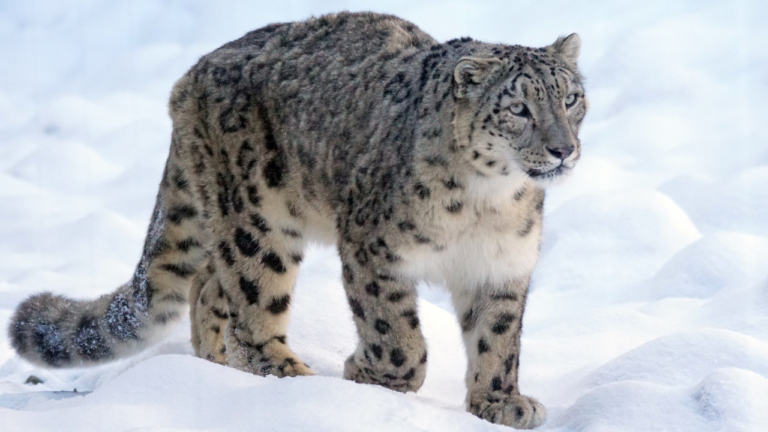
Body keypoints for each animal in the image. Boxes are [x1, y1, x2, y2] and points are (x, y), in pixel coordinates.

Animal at [8, 12, 587, 429]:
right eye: (518, 109)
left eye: (572, 98)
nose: (563, 149)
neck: (488, 202)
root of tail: (191, 76)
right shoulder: (374, 250)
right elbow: (397, 335)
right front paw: (369, 375)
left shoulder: (502, 266)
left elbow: (498, 339)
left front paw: (500, 402)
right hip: (257, 221)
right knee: (249, 303)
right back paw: (289, 378)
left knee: (208, 286)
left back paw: (216, 367)